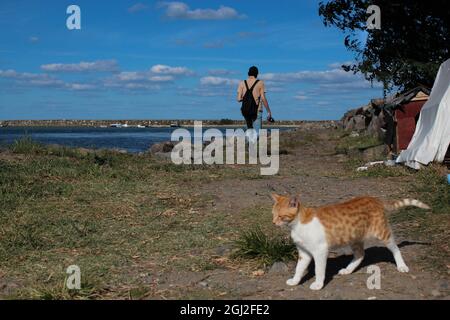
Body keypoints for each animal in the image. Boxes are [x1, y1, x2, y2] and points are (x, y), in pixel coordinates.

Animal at [268, 194, 430, 292]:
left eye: (281, 216)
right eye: (273, 214)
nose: (273, 222)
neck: (298, 225)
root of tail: (374, 198)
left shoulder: (320, 251)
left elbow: (319, 270)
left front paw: (318, 284)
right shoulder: (304, 253)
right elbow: (299, 269)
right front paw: (295, 281)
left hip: (382, 233)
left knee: (395, 249)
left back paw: (401, 265)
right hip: (354, 238)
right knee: (360, 254)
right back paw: (348, 269)